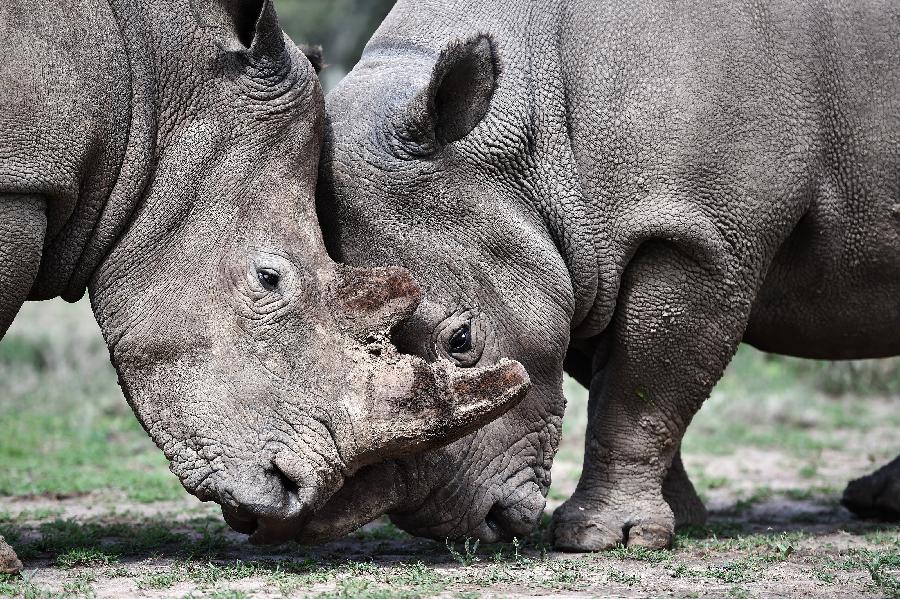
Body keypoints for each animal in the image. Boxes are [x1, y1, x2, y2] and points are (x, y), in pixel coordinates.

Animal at [306, 0, 896, 552]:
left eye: (462, 341)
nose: (461, 527)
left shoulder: (698, 235)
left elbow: (641, 388)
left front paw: (605, 537)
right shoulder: (589, 256)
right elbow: (615, 375)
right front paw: (682, 520)